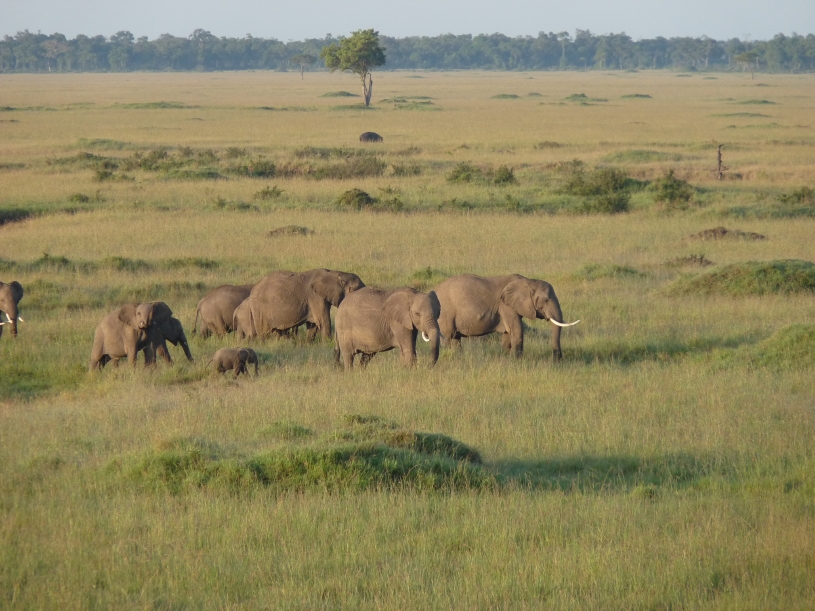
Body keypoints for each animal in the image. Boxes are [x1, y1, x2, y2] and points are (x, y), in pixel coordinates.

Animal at [434, 274, 579, 360]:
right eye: (546, 300)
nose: (557, 359)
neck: (528, 281)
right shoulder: (506, 306)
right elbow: (516, 331)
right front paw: (517, 361)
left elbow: (508, 334)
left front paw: (507, 358)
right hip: (445, 313)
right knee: (447, 338)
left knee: (455, 339)